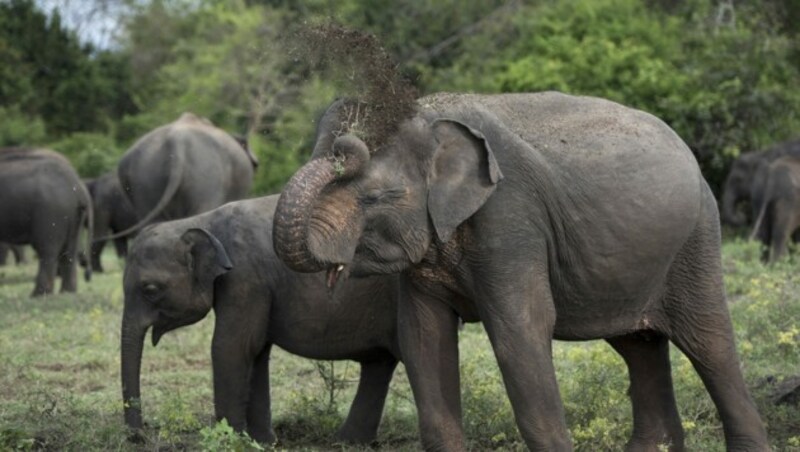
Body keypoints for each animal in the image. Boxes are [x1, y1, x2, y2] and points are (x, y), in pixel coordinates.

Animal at [0, 147, 92, 296]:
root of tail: (78, 186)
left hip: (51, 212)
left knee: (47, 250)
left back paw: (38, 294)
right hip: (72, 215)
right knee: (69, 251)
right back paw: (66, 292)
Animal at [120, 195, 400, 444]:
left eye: (150, 289)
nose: (139, 437)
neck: (203, 222)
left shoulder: (246, 278)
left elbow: (231, 347)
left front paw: (231, 441)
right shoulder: (257, 286)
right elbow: (256, 351)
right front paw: (263, 442)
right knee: (379, 364)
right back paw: (348, 443)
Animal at [274, 92, 768, 452]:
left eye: (375, 197)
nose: (346, 144)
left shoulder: (511, 219)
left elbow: (521, 331)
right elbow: (423, 338)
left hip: (696, 239)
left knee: (710, 343)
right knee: (638, 344)